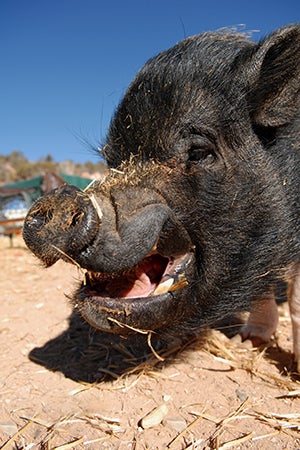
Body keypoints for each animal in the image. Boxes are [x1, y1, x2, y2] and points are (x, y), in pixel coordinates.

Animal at [23, 26, 300, 374]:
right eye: (112, 160)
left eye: (198, 152)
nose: (59, 199)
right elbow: (264, 284)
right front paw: (248, 342)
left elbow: (296, 298)